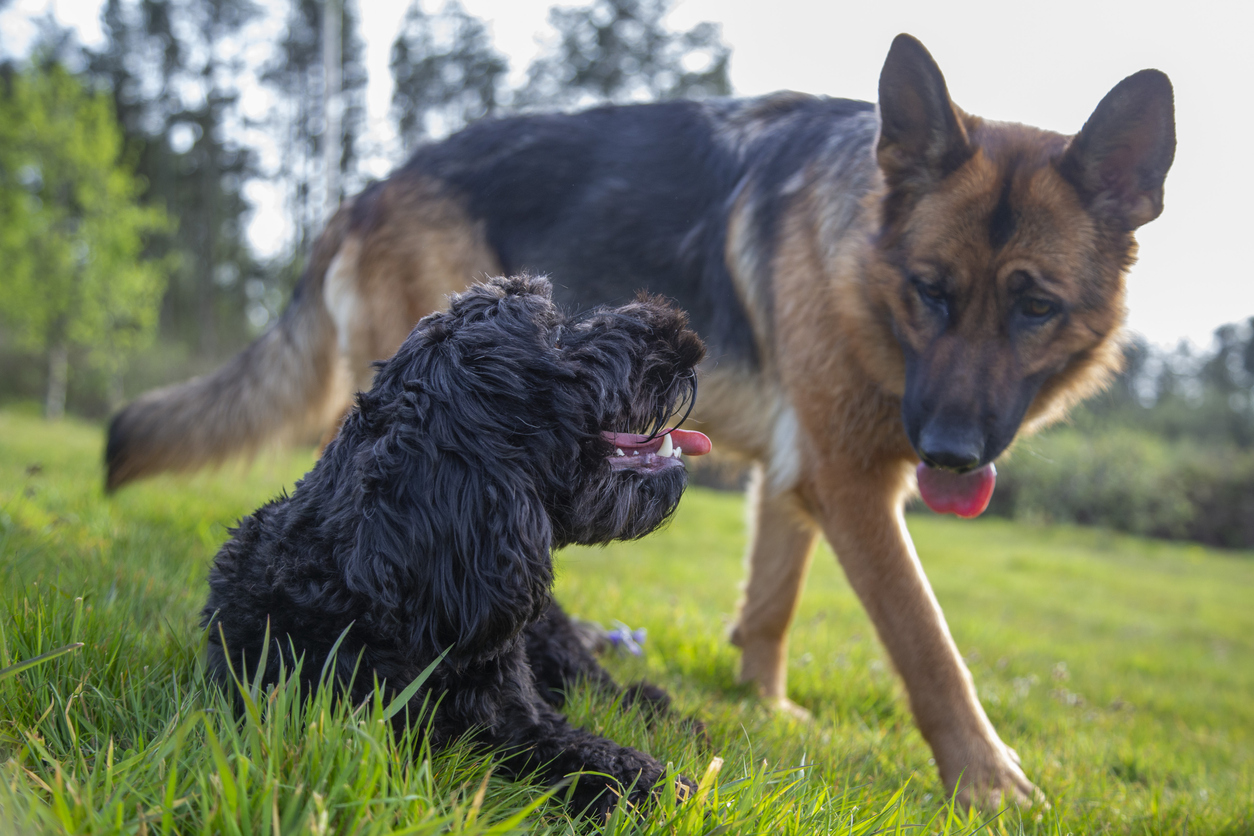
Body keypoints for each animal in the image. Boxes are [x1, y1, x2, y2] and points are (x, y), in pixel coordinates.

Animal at [206, 275, 717, 817]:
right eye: (554, 333)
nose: (680, 331)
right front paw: (672, 791)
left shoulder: (521, 716)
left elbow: (594, 751)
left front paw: (673, 787)